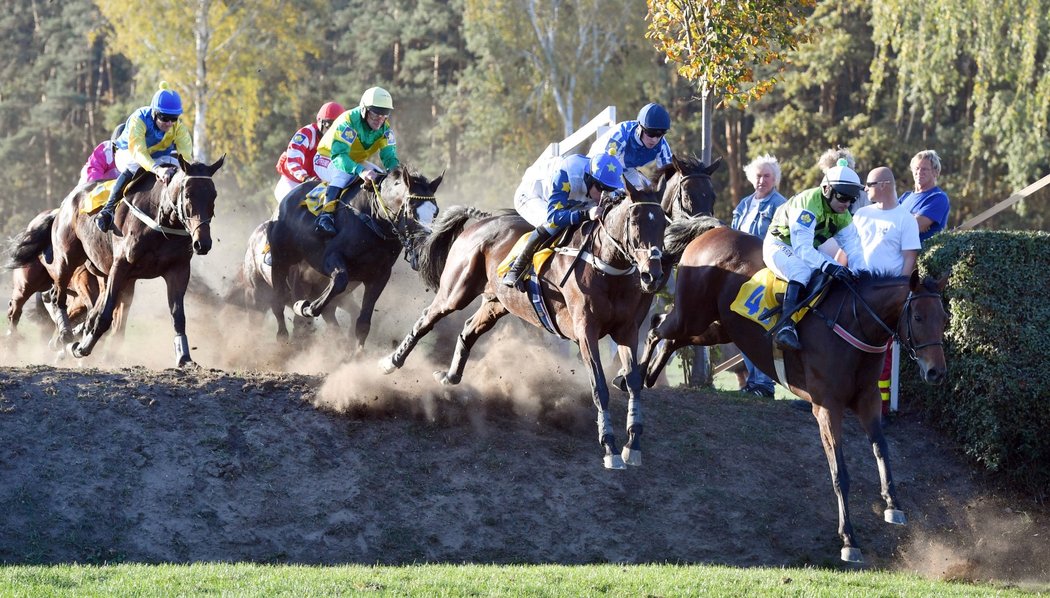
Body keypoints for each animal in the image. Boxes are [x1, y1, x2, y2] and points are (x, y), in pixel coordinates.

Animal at [47, 153, 225, 365]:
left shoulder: (178, 269)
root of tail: (69, 198)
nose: (202, 243)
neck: (160, 220)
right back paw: (65, 335)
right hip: (67, 258)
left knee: (91, 311)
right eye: (188, 194)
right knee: (57, 296)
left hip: (103, 273)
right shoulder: (120, 267)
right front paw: (83, 347)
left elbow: (178, 316)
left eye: (213, 195)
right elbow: (105, 315)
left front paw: (184, 357)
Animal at [380, 183, 663, 467]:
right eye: (634, 222)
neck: (607, 267)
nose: (653, 276)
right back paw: (391, 361)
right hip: (455, 292)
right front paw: (609, 446)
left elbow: (634, 383)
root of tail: (483, 220)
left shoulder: (627, 332)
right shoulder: (586, 333)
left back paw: (450, 377)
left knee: (468, 330)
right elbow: (599, 387)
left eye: (663, 223)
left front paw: (633, 443)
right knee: (426, 319)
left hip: (497, 303)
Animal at [638, 222, 953, 558]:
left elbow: (882, 450)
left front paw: (893, 505)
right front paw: (849, 539)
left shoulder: (867, 398)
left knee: (668, 334)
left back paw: (650, 375)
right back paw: (632, 377)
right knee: (656, 328)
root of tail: (714, 229)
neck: (854, 322)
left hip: (715, 327)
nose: (936, 372)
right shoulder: (827, 407)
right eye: (918, 317)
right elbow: (840, 473)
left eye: (945, 318)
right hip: (692, 315)